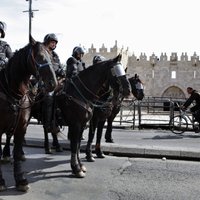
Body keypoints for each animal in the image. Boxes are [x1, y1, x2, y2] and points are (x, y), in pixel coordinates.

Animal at [0, 36, 57, 192]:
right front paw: (1, 181)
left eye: (52, 57)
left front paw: (20, 179)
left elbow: (17, 152)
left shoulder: (21, 125)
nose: (53, 83)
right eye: (40, 56)